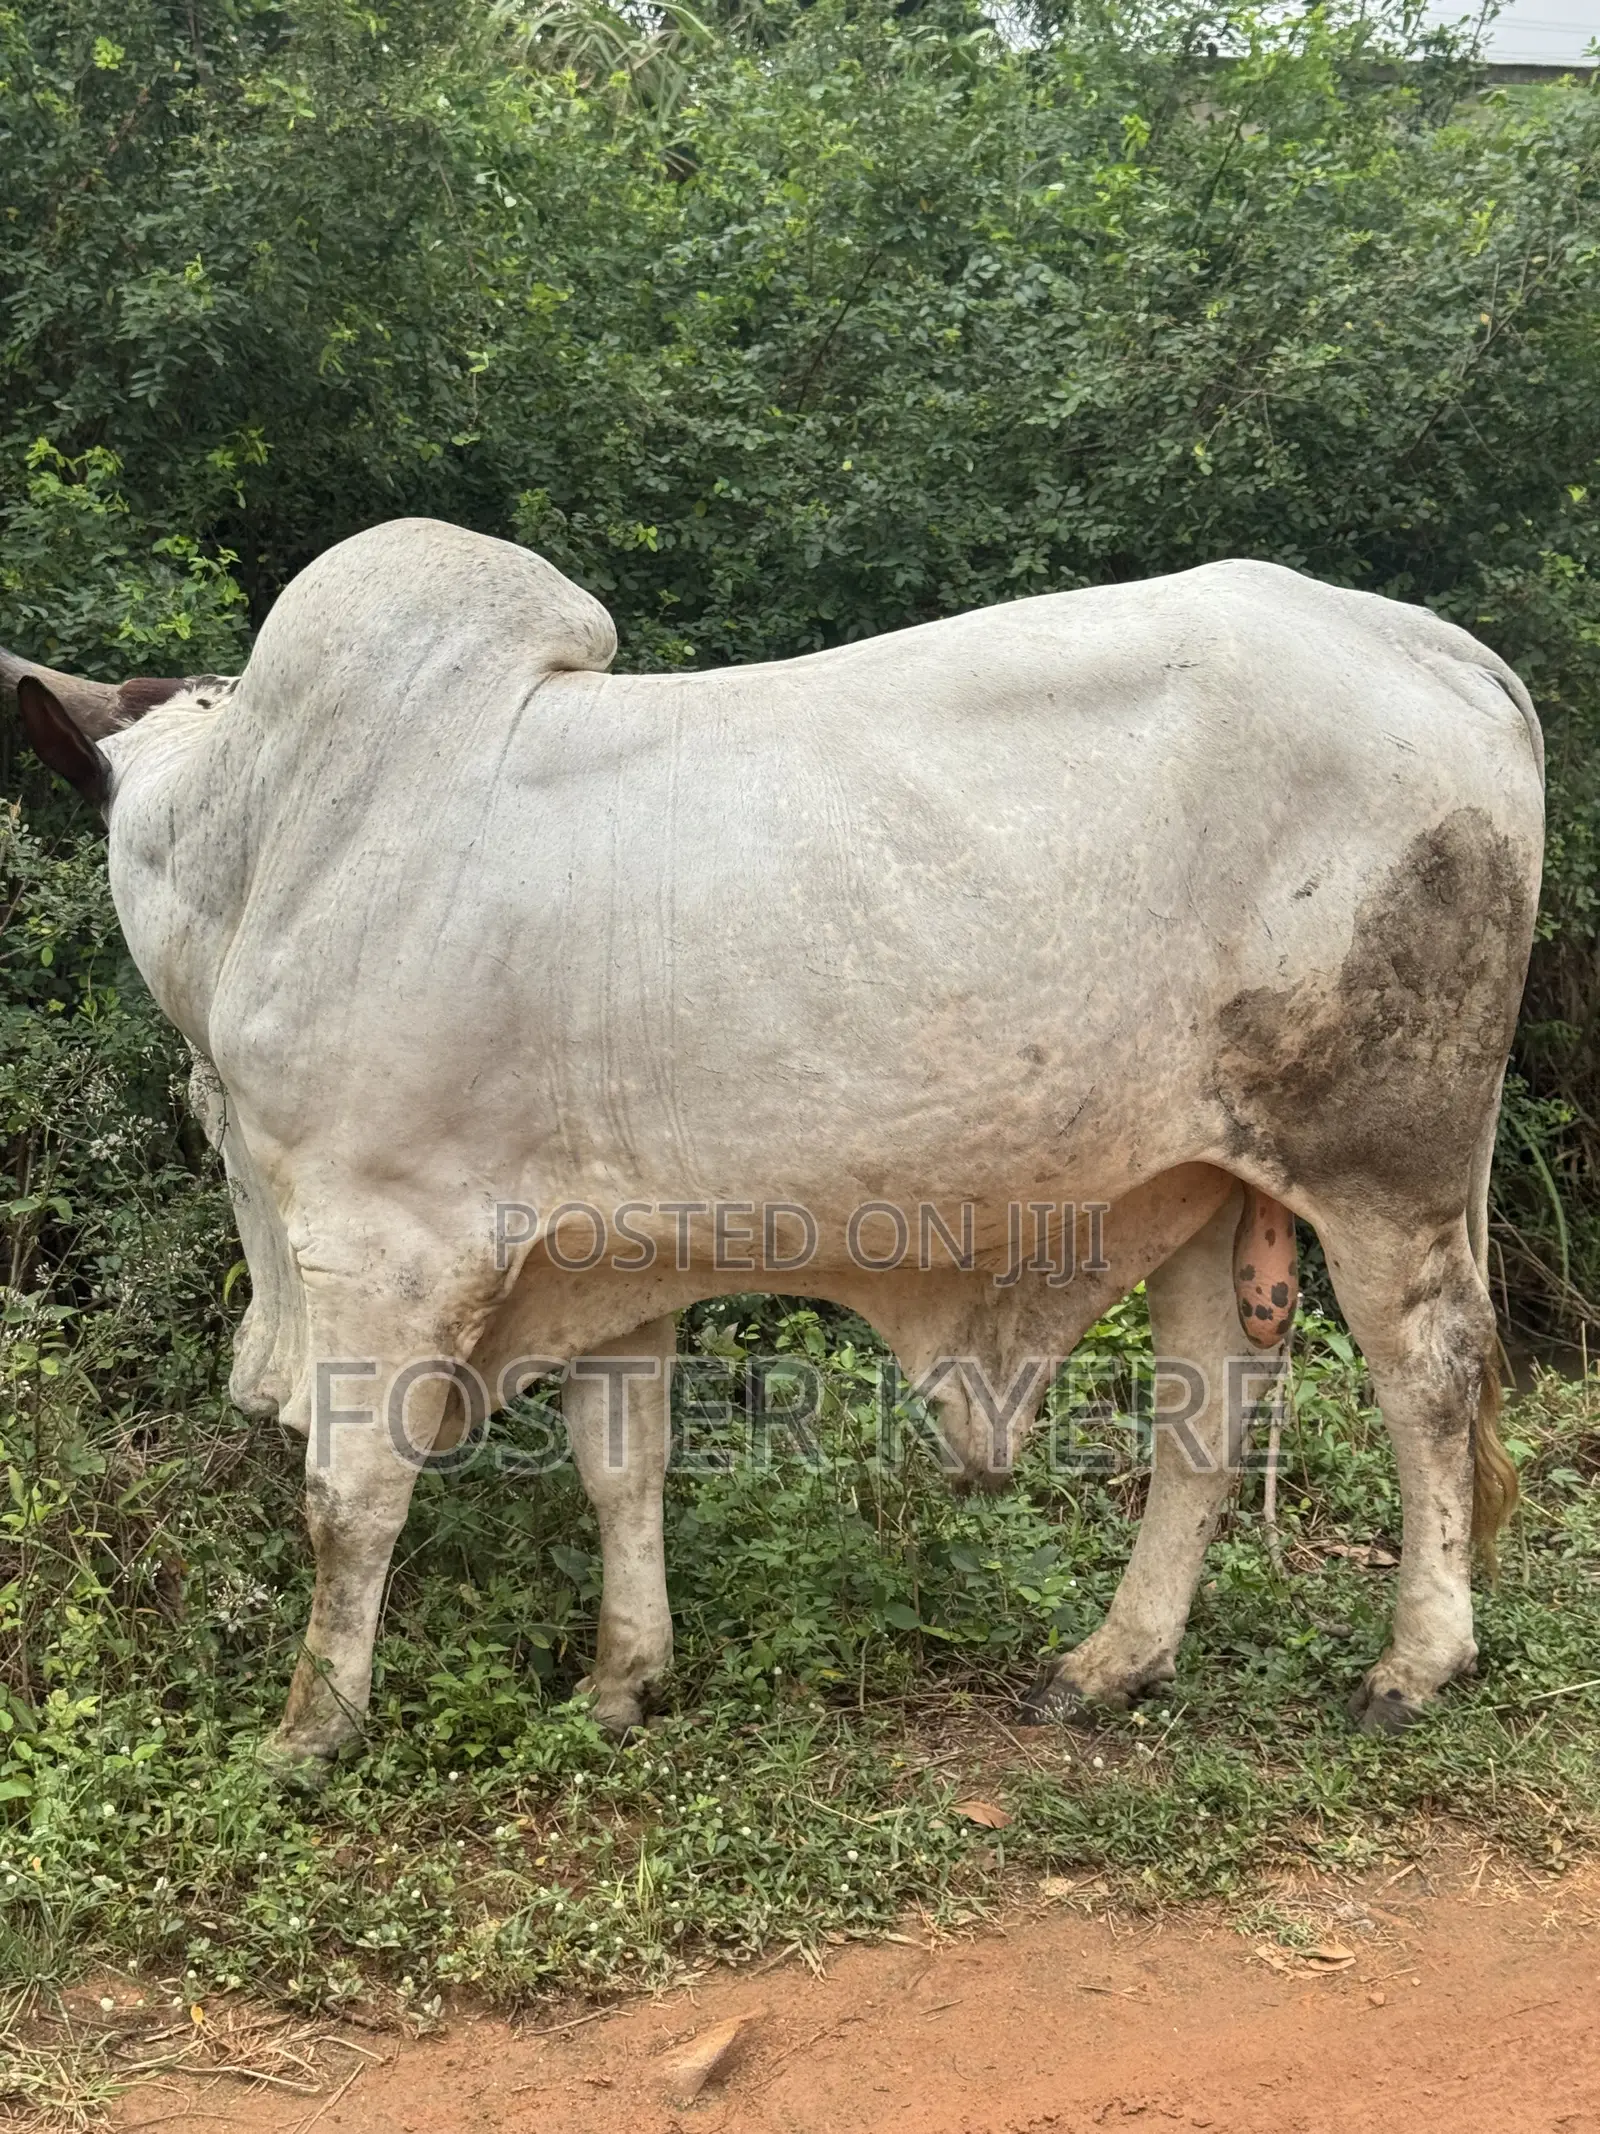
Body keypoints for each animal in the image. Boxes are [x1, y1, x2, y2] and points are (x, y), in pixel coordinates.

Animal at [6, 517, 1542, 1774]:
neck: (261, 843)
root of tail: (1443, 649)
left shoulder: (380, 1240)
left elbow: (350, 1494)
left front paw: (310, 1731)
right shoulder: (602, 1254)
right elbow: (618, 1467)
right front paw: (623, 1680)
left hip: (1387, 1166)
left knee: (1427, 1376)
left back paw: (1413, 1663)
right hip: (1208, 1185)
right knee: (1208, 1409)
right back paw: (1114, 1660)